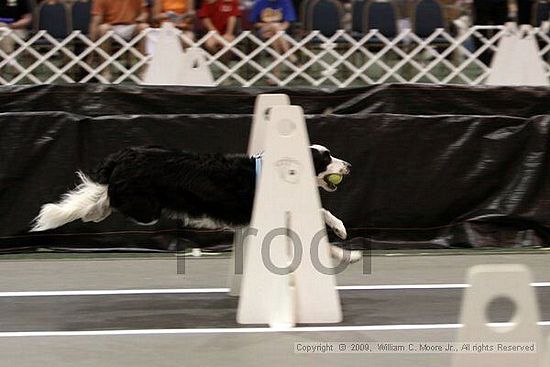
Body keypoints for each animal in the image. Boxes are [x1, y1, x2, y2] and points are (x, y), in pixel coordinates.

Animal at [30, 145, 360, 264]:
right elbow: (315, 223)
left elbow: (321, 212)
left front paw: (342, 235)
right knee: (104, 199)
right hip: (145, 207)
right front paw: (345, 251)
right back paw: (85, 212)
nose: (349, 166)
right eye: (326, 158)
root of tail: (124, 156)